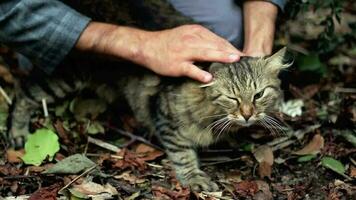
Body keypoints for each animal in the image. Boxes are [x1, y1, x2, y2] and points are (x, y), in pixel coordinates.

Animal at [9, 47, 290, 191]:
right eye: (232, 98)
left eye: (258, 95)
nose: (247, 114)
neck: (211, 110)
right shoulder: (165, 118)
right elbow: (183, 155)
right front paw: (194, 178)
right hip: (66, 77)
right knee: (24, 92)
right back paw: (17, 132)